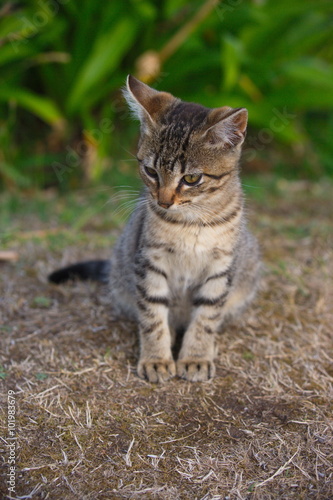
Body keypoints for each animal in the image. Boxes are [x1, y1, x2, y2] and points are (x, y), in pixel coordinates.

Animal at [50, 76, 260, 382]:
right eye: (151, 172)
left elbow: (207, 317)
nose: (164, 201)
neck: (190, 222)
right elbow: (152, 315)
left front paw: (196, 356)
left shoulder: (222, 267)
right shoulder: (149, 261)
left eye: (191, 178)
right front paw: (156, 359)